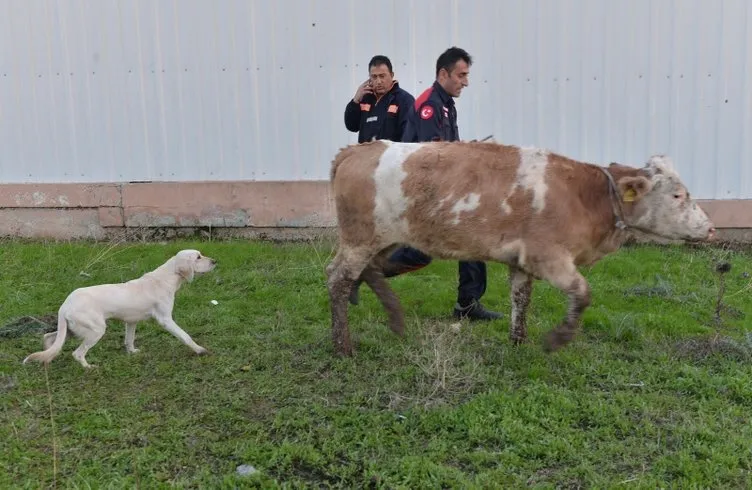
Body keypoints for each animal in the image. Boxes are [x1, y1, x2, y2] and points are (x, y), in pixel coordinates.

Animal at [23, 249, 216, 368]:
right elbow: (185, 336)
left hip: (71, 330)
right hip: (96, 330)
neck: (165, 278)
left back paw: (47, 361)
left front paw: (132, 353)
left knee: (49, 338)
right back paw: (89, 367)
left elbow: (129, 340)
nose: (215, 261)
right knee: (77, 353)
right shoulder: (165, 320)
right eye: (198, 257)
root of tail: (65, 305)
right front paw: (200, 350)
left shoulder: (131, 322)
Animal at [324, 138, 716, 356]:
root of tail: (359, 149)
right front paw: (558, 339)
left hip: (381, 241)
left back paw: (394, 317)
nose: (711, 228)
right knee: (338, 279)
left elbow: (520, 298)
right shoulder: (549, 257)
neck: (584, 195)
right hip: (360, 238)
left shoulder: (523, 260)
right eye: (678, 195)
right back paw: (343, 346)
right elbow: (583, 293)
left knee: (368, 272)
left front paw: (518, 341)